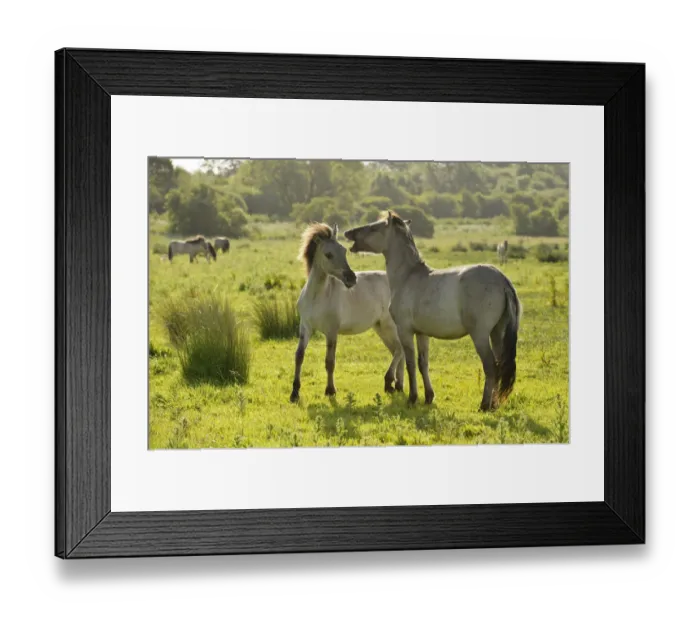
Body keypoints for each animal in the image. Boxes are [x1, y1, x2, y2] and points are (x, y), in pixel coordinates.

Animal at [290, 222, 405, 403]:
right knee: (398, 352)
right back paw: (397, 385)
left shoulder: (331, 331)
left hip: (389, 326)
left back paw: (389, 382)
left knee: (400, 350)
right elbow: (299, 356)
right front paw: (294, 392)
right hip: (380, 328)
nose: (351, 279)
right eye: (328, 254)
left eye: (344, 251)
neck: (317, 296)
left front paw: (330, 390)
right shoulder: (305, 327)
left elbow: (330, 361)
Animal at [344, 211, 522, 411]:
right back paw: (494, 404)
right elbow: (423, 364)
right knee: (500, 364)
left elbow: (410, 364)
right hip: (497, 332)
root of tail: (501, 279)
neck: (408, 277)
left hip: (481, 335)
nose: (348, 232)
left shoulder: (405, 331)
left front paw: (412, 398)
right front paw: (428, 397)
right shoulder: (422, 333)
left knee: (491, 366)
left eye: (374, 227)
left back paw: (484, 405)